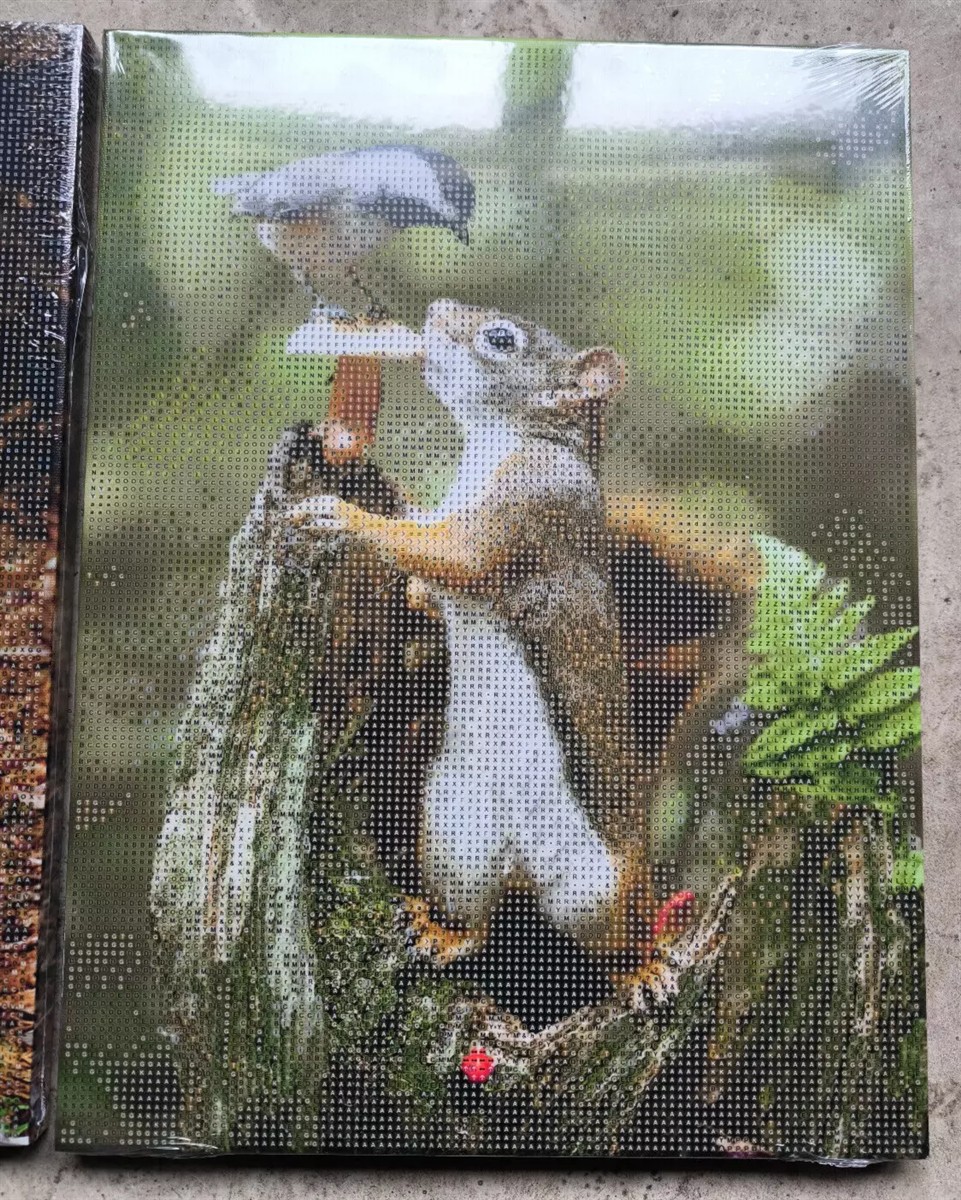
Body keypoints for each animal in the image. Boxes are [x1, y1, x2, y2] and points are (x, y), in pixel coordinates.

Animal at [287, 298, 760, 1002]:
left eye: (501, 339)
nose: (436, 312)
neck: (499, 444)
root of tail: (519, 865)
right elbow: (432, 580)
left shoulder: (531, 506)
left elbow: (456, 556)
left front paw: (343, 516)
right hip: (454, 842)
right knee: (473, 916)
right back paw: (442, 931)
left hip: (601, 888)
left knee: (621, 935)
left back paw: (644, 965)